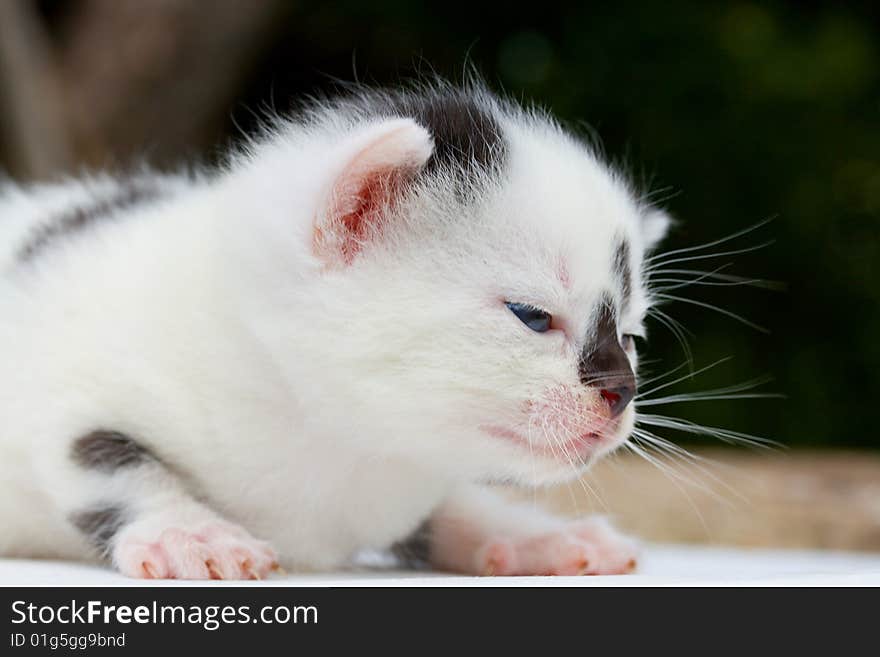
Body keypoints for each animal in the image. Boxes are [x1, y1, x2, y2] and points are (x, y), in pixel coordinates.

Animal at [0, 83, 668, 580]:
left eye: (631, 337)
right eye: (532, 316)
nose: (621, 393)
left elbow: (451, 503)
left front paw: (531, 534)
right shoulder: (66, 384)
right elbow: (107, 462)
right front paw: (189, 531)